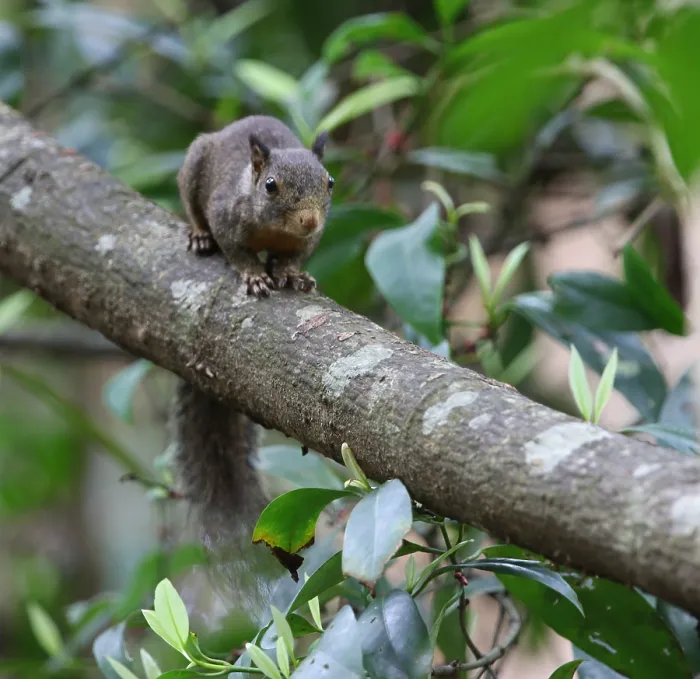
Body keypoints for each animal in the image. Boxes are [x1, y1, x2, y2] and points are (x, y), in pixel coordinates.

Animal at [172, 116, 333, 617]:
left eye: (330, 183)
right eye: (270, 186)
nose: (309, 220)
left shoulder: (308, 240)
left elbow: (295, 256)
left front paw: (292, 273)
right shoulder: (228, 213)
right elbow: (237, 251)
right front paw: (254, 275)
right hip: (193, 168)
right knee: (194, 211)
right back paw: (197, 234)